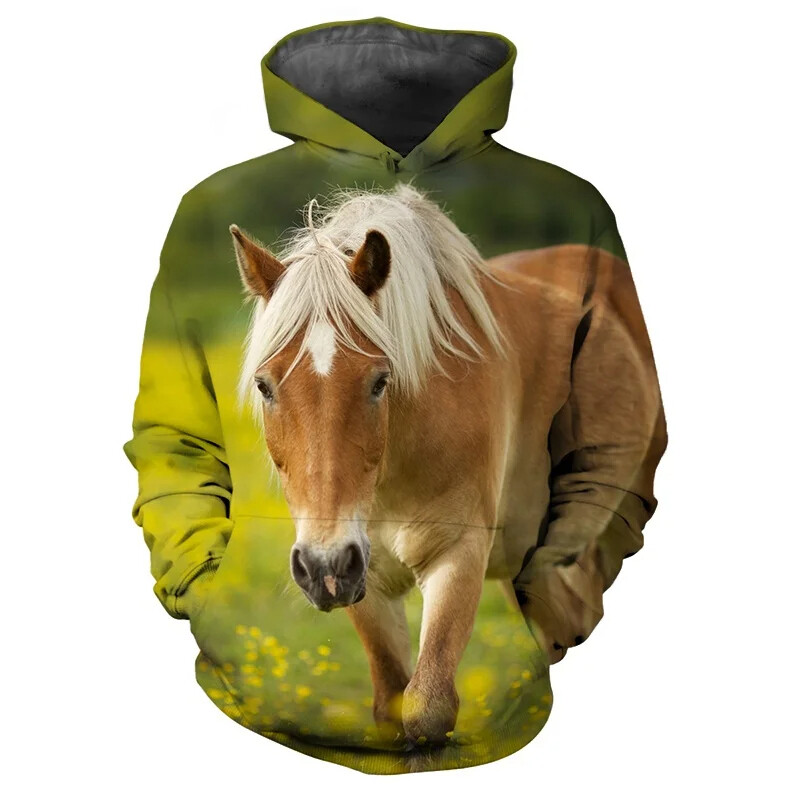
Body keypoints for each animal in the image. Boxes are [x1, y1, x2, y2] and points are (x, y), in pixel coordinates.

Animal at [230, 181, 662, 746]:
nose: (324, 565)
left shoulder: (456, 557)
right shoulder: (369, 582)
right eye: (265, 385)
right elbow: (392, 707)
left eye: (379, 381)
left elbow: (429, 706)